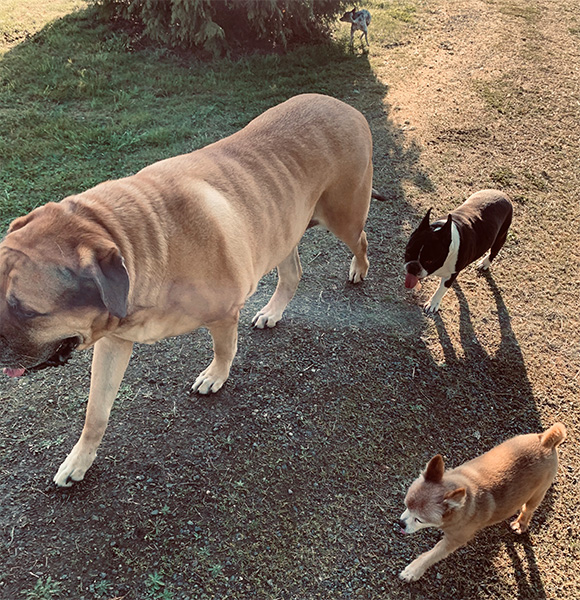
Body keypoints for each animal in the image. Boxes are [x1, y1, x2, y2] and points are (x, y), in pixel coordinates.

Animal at [0, 95, 382, 488]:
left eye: (26, 310)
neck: (136, 242)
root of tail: (344, 106)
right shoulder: (114, 341)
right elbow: (96, 411)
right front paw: (80, 459)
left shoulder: (224, 314)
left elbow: (224, 349)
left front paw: (215, 376)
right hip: (283, 227)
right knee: (292, 272)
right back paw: (273, 311)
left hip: (344, 216)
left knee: (362, 240)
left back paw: (359, 269)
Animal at [398, 422, 568, 580]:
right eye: (406, 505)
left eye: (419, 520)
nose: (400, 524)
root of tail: (545, 440)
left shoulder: (453, 541)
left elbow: (431, 555)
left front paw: (413, 571)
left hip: (538, 494)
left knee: (528, 510)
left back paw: (520, 524)